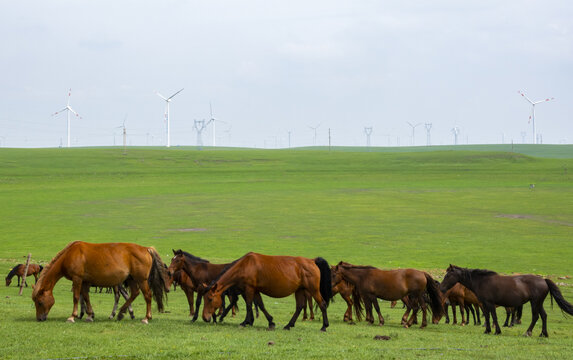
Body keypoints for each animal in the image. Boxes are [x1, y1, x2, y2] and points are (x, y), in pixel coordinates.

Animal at [31, 242, 166, 324]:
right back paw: (121, 313)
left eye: (40, 302)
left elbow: (76, 297)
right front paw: (90, 315)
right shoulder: (85, 282)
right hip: (132, 279)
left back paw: (146, 318)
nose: (39, 318)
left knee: (147, 296)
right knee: (134, 293)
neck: (69, 255)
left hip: (141, 280)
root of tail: (146, 249)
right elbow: (86, 297)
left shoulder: (77, 279)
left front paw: (72, 316)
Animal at [203, 252, 332, 330]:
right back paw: (288, 325)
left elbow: (249, 305)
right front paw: (271, 322)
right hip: (299, 290)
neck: (245, 265)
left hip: (313, 290)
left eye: (210, 299)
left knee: (322, 304)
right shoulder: (255, 290)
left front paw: (245, 322)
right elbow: (261, 305)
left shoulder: (249, 289)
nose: (205, 318)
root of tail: (312, 261)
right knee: (299, 306)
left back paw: (324, 326)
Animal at [438, 264, 572, 338]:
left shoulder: (489, 303)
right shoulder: (484, 304)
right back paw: (543, 334)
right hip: (539, 303)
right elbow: (488, 317)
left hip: (535, 303)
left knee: (536, 317)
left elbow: (494, 317)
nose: (441, 288)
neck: (482, 281)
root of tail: (544, 280)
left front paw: (497, 331)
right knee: (544, 316)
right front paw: (487, 330)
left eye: (448, 275)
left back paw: (527, 332)